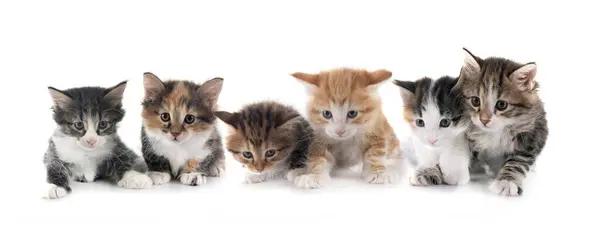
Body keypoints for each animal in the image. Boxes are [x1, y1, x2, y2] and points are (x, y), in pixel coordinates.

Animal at [454, 48, 548, 196]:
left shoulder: (533, 134)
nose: (484, 120)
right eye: (475, 101)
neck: (494, 132)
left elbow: (518, 161)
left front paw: (507, 182)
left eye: (501, 105)